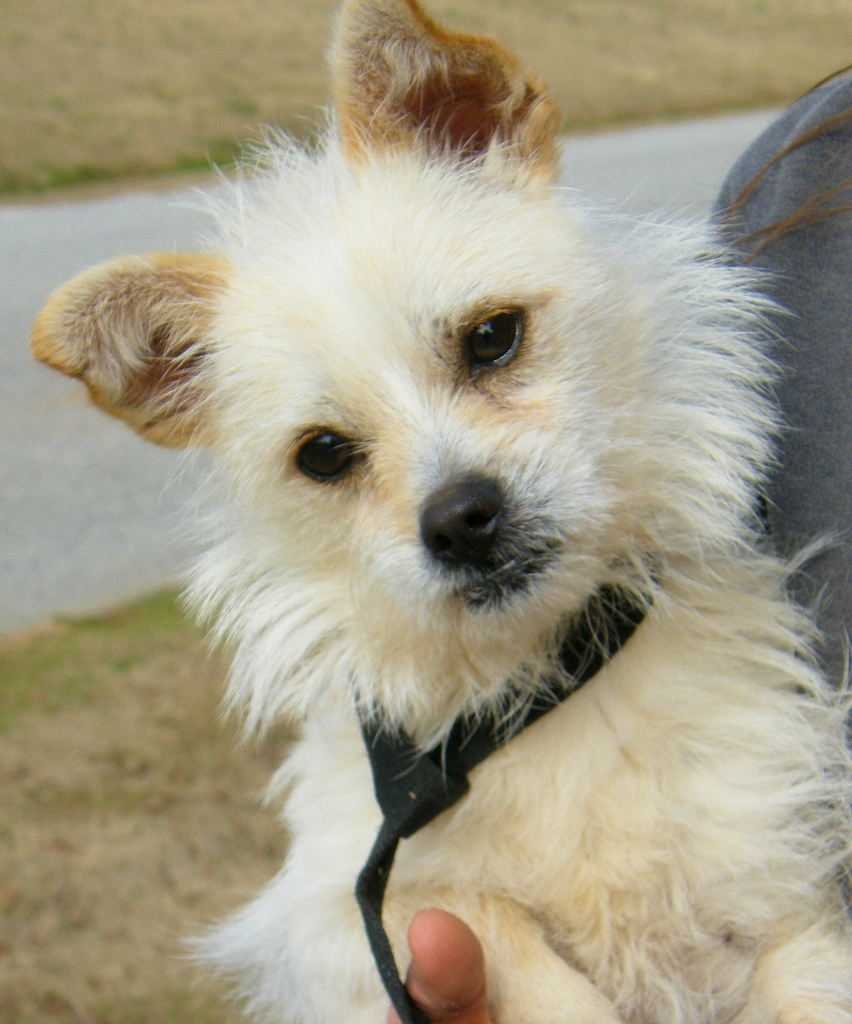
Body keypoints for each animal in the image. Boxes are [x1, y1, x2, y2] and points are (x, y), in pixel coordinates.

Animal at [29, 2, 852, 1024]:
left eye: (492, 336)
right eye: (324, 454)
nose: (460, 520)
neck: (548, 691)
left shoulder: (788, 902)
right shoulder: (354, 910)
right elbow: (518, 952)